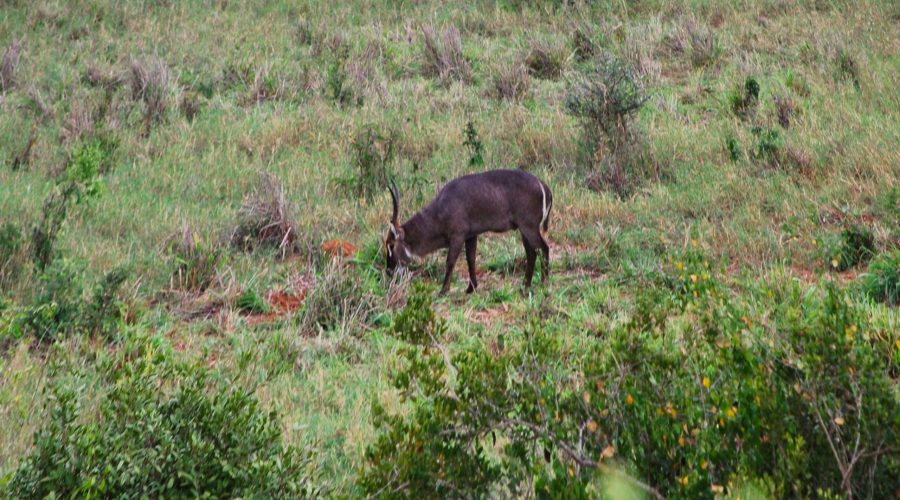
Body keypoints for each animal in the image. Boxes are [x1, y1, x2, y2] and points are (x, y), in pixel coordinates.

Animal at [384, 169, 552, 292]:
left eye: (391, 245)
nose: (389, 271)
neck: (440, 211)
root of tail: (544, 186)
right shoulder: (471, 236)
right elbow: (471, 259)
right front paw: (471, 288)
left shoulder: (457, 235)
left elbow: (450, 261)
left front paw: (443, 290)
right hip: (524, 229)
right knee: (531, 253)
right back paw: (525, 285)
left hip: (528, 226)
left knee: (544, 248)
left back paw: (543, 284)